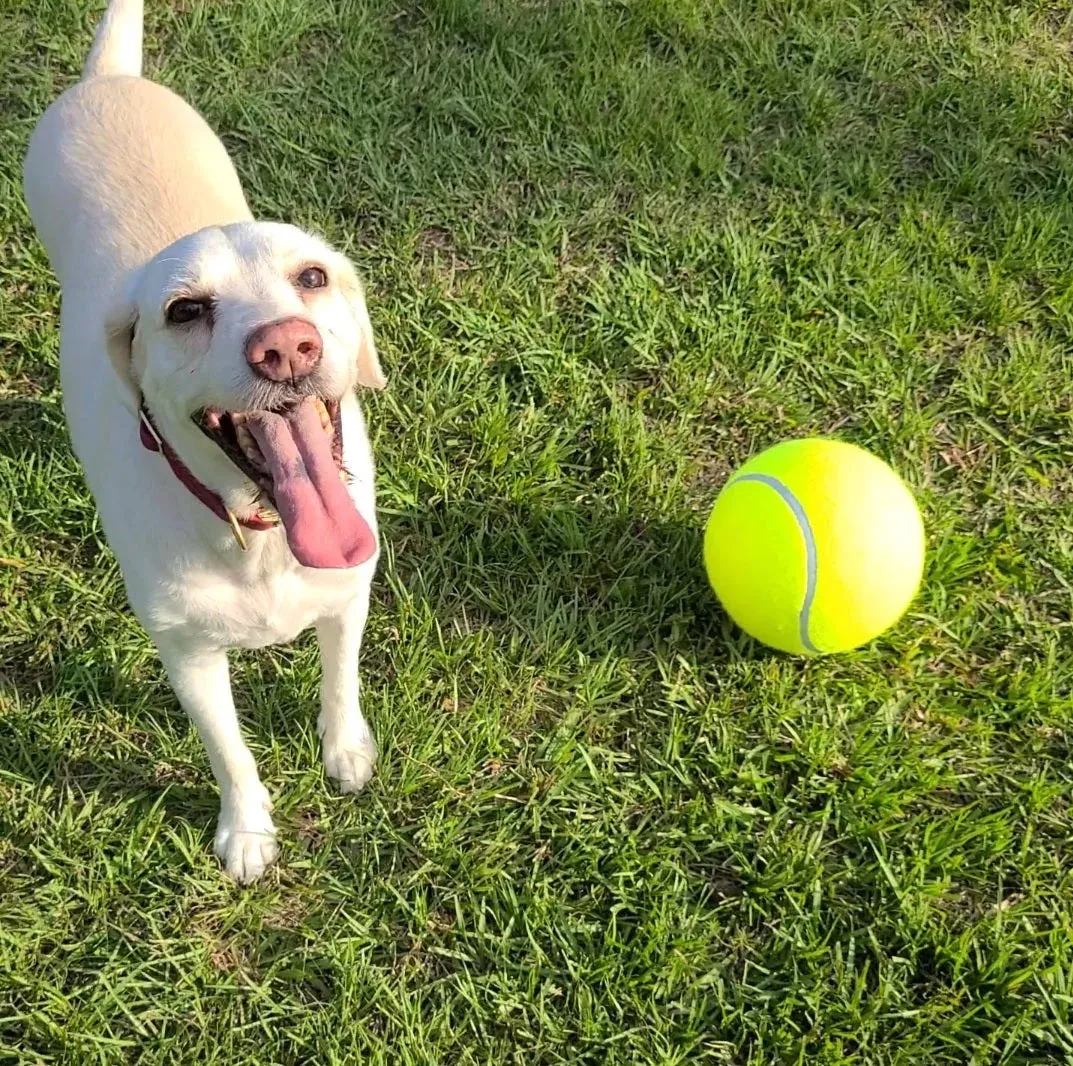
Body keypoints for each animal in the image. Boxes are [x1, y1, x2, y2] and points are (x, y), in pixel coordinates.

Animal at [21, 0, 386, 880]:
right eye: (185, 311)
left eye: (312, 277)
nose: (286, 347)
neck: (261, 532)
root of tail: (109, 80)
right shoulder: (185, 654)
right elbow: (230, 754)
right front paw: (247, 833)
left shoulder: (349, 595)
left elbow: (340, 683)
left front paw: (345, 753)